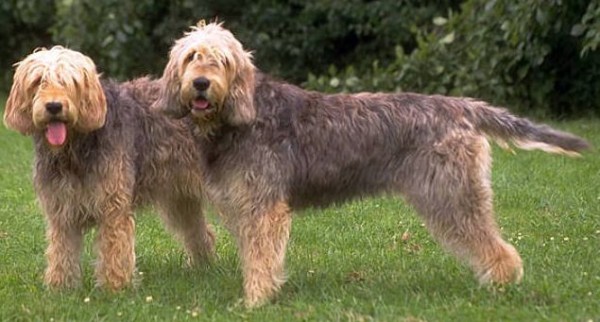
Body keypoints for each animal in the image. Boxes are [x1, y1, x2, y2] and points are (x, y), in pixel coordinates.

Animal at [2, 46, 216, 290]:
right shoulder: (61, 211)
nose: (54, 106)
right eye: (38, 81)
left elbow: (114, 251)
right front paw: (60, 287)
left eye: (70, 81)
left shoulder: (112, 206)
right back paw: (202, 266)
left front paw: (115, 288)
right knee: (201, 232)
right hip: (180, 199)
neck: (73, 149)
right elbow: (61, 252)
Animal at [155, 22, 592, 306]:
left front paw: (256, 301)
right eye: (192, 57)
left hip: (452, 196)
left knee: (498, 248)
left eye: (222, 61)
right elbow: (254, 254)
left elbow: (261, 257)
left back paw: (501, 286)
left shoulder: (264, 209)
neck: (239, 117)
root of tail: (462, 106)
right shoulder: (246, 207)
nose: (200, 84)